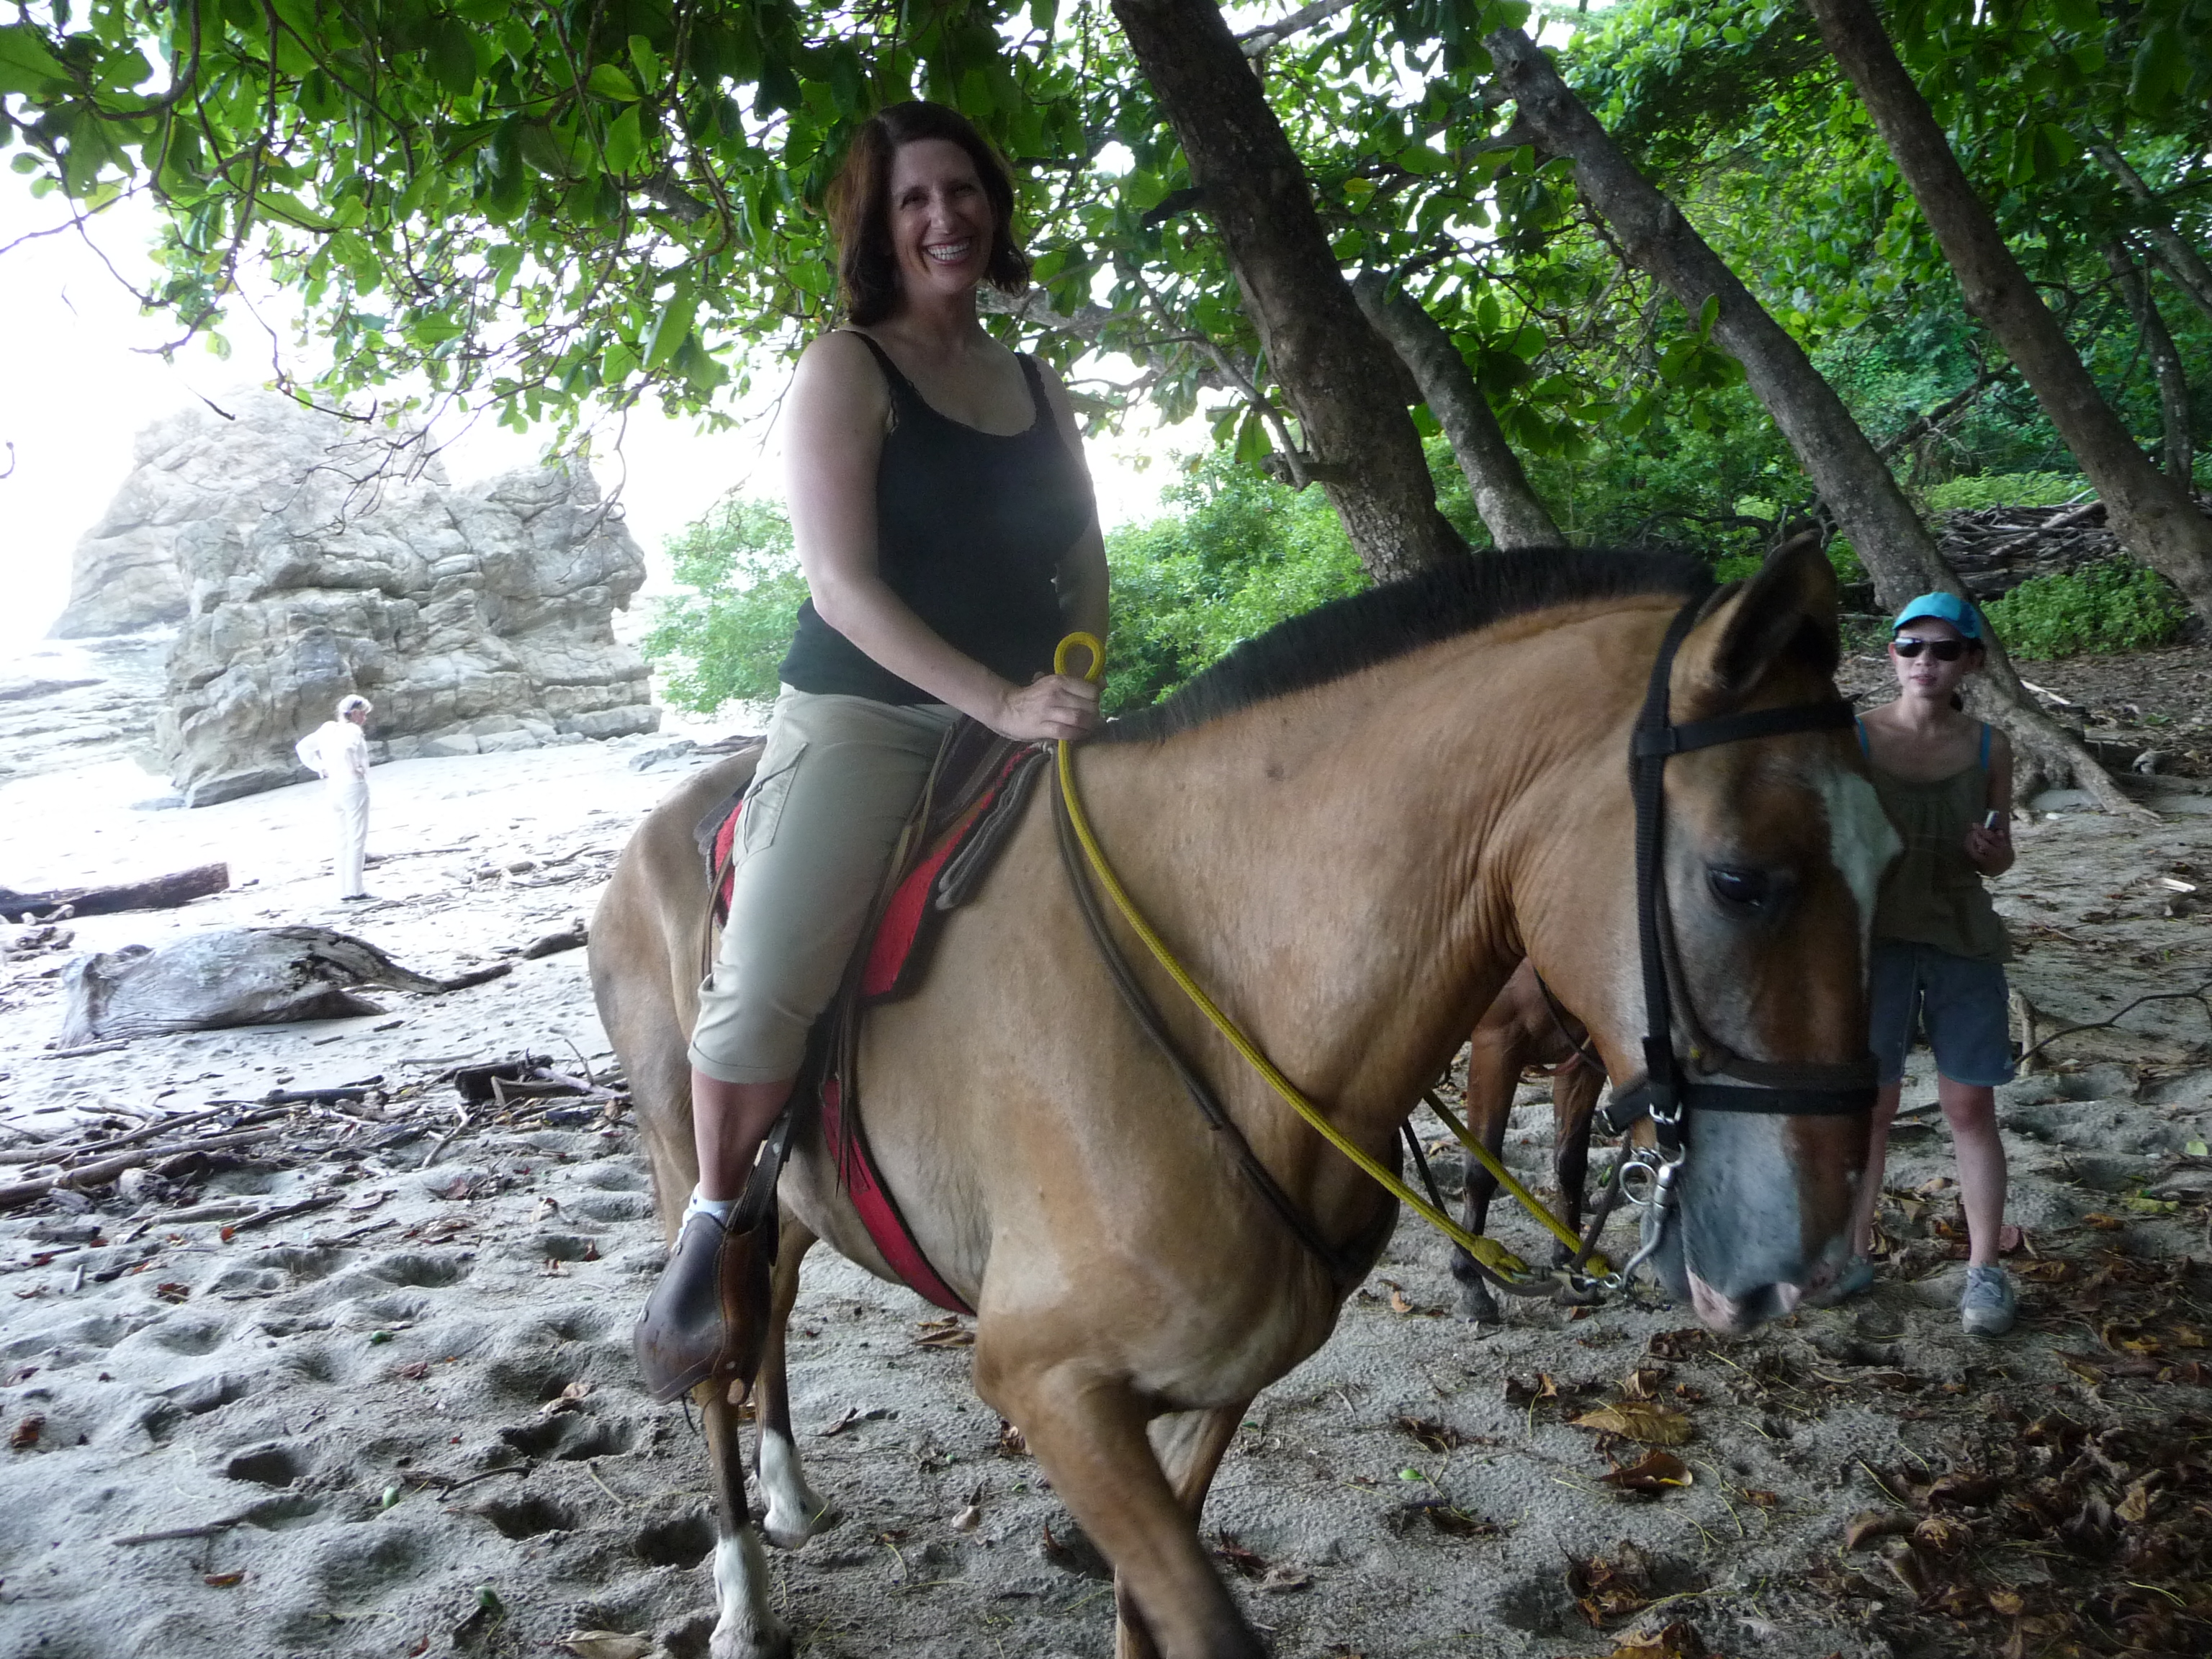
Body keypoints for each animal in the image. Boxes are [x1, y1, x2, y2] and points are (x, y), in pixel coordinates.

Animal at [1445, 960, 1609, 1324]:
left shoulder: (1584, 1060)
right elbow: (1482, 1168)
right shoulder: (1495, 1049)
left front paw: (1569, 1269)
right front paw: (1470, 1282)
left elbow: (1570, 1163)